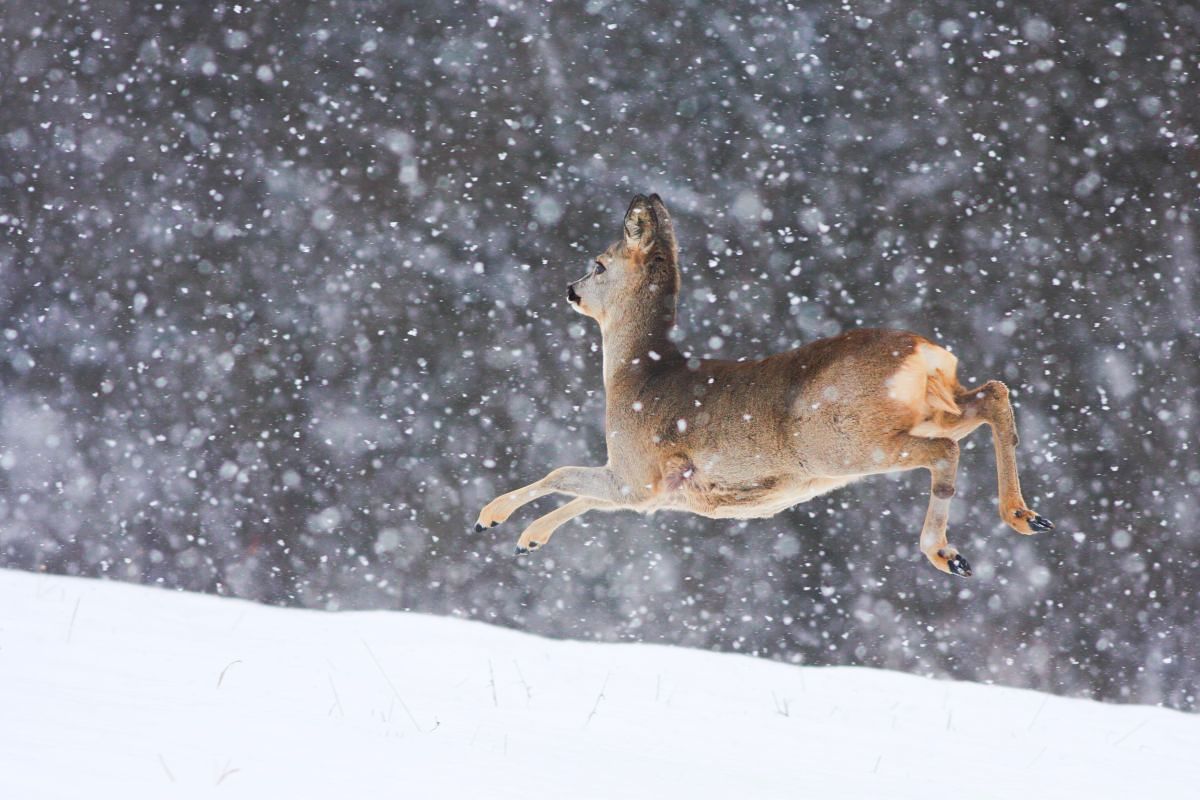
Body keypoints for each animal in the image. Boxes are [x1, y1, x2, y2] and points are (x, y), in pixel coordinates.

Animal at [475, 194, 1052, 577]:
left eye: (598, 263)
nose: (569, 289)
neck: (639, 374)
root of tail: (925, 353)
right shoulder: (652, 489)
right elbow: (587, 497)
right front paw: (528, 539)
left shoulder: (640, 472)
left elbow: (562, 474)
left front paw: (492, 518)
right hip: (932, 409)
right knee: (992, 396)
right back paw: (1024, 516)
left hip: (846, 442)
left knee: (944, 452)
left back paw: (945, 551)